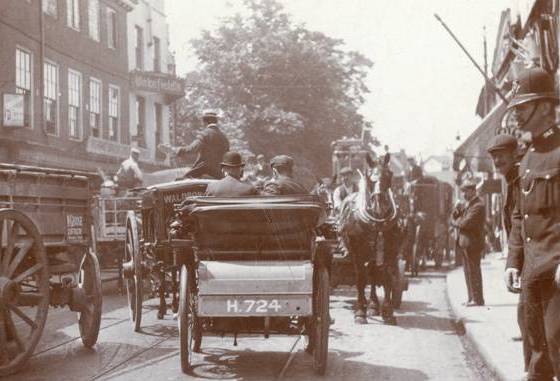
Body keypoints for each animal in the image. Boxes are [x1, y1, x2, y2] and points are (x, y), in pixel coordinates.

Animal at [340, 152, 400, 324]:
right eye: (369, 177)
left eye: (389, 175)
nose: (379, 203)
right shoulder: (357, 252)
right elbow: (360, 279)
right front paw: (360, 312)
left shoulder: (390, 251)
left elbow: (387, 277)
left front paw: (388, 311)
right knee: (367, 275)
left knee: (373, 274)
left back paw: (373, 304)